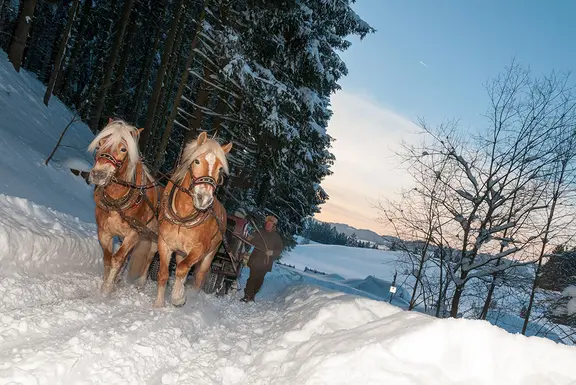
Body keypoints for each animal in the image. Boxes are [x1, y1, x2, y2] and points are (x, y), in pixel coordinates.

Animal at [86, 118, 162, 296]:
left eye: (123, 149)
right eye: (100, 143)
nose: (98, 175)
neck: (116, 202)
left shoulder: (134, 233)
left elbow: (117, 258)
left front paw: (107, 288)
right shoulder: (104, 231)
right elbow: (108, 258)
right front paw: (108, 282)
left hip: (154, 237)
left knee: (150, 256)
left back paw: (141, 282)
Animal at [155, 132, 234, 306]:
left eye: (220, 168)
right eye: (197, 161)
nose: (204, 199)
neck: (183, 217)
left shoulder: (199, 249)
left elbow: (182, 269)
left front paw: (178, 297)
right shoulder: (164, 243)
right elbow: (164, 273)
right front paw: (158, 304)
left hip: (210, 253)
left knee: (198, 277)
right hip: (181, 251)